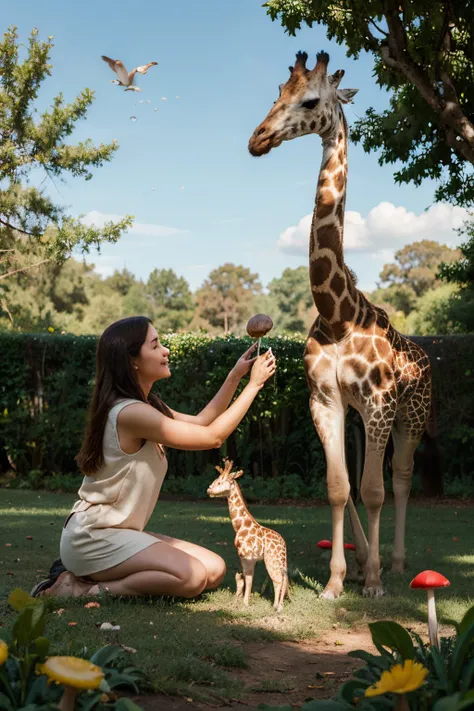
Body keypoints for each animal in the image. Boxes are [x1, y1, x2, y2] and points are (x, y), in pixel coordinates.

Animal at [207, 462, 288, 612]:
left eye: (220, 481)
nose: (209, 490)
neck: (239, 526)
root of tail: (283, 546)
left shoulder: (247, 556)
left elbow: (248, 578)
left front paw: (245, 603)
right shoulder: (245, 557)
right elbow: (241, 578)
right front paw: (238, 600)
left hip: (271, 559)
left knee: (278, 579)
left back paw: (277, 607)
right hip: (280, 561)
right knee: (283, 578)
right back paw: (279, 605)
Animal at [248, 51, 436, 600]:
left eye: (311, 100)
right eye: (277, 94)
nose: (258, 138)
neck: (339, 315)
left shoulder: (379, 404)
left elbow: (374, 489)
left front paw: (372, 582)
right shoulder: (327, 400)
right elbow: (338, 487)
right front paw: (336, 581)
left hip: (411, 416)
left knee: (401, 477)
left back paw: (393, 562)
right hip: (360, 417)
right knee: (361, 480)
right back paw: (362, 560)